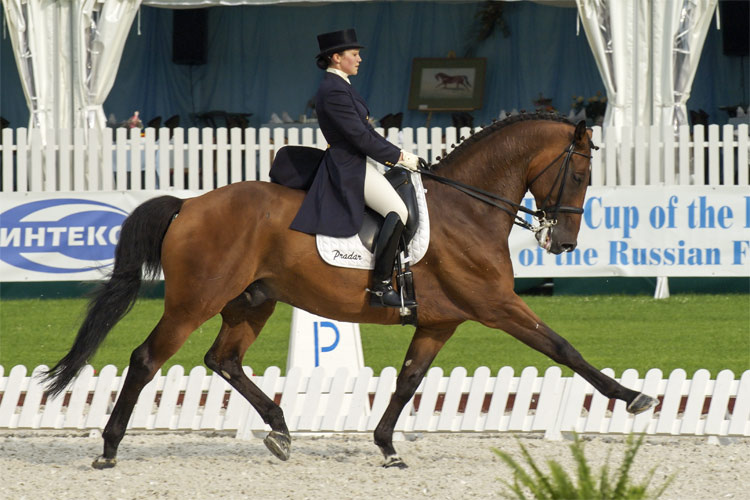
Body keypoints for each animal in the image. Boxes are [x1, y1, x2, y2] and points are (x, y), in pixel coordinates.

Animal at [43, 113, 658, 469]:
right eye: (579, 174)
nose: (564, 242)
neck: (470, 207)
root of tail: (189, 204)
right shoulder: (497, 306)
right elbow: (563, 348)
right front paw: (634, 397)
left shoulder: (439, 322)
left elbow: (409, 380)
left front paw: (386, 446)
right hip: (194, 302)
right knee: (147, 358)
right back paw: (109, 449)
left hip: (253, 301)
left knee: (223, 360)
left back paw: (281, 430)